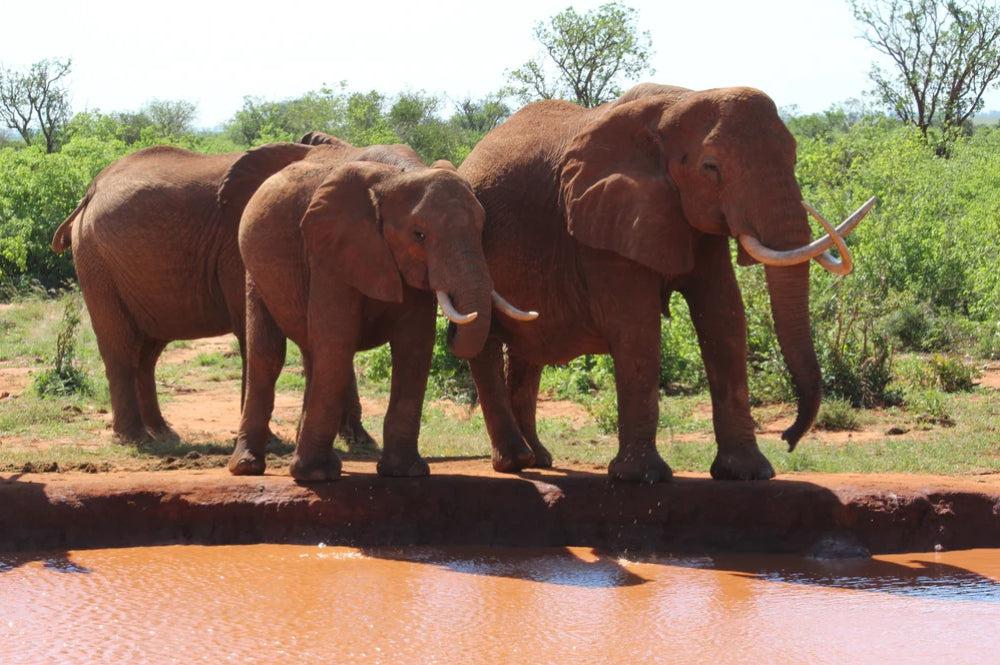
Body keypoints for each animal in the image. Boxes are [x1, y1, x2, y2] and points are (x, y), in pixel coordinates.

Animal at [50, 137, 375, 446]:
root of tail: (92, 189)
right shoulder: (239, 247)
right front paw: (271, 442)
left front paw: (360, 441)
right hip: (98, 263)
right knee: (120, 347)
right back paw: (136, 439)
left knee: (147, 353)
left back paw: (164, 434)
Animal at [225, 135, 536, 481]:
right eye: (419, 234)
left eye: (483, 230)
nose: (456, 326)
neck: (399, 176)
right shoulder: (330, 248)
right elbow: (338, 339)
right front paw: (317, 476)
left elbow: (415, 344)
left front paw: (405, 472)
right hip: (254, 268)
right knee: (268, 355)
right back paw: (248, 467)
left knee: (311, 353)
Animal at [458, 83, 874, 483]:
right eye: (711, 167)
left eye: (793, 157)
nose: (788, 438)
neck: (678, 101)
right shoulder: (601, 222)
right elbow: (636, 326)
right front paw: (642, 477)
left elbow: (724, 315)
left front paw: (748, 473)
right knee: (485, 342)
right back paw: (515, 462)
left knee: (527, 352)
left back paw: (539, 459)